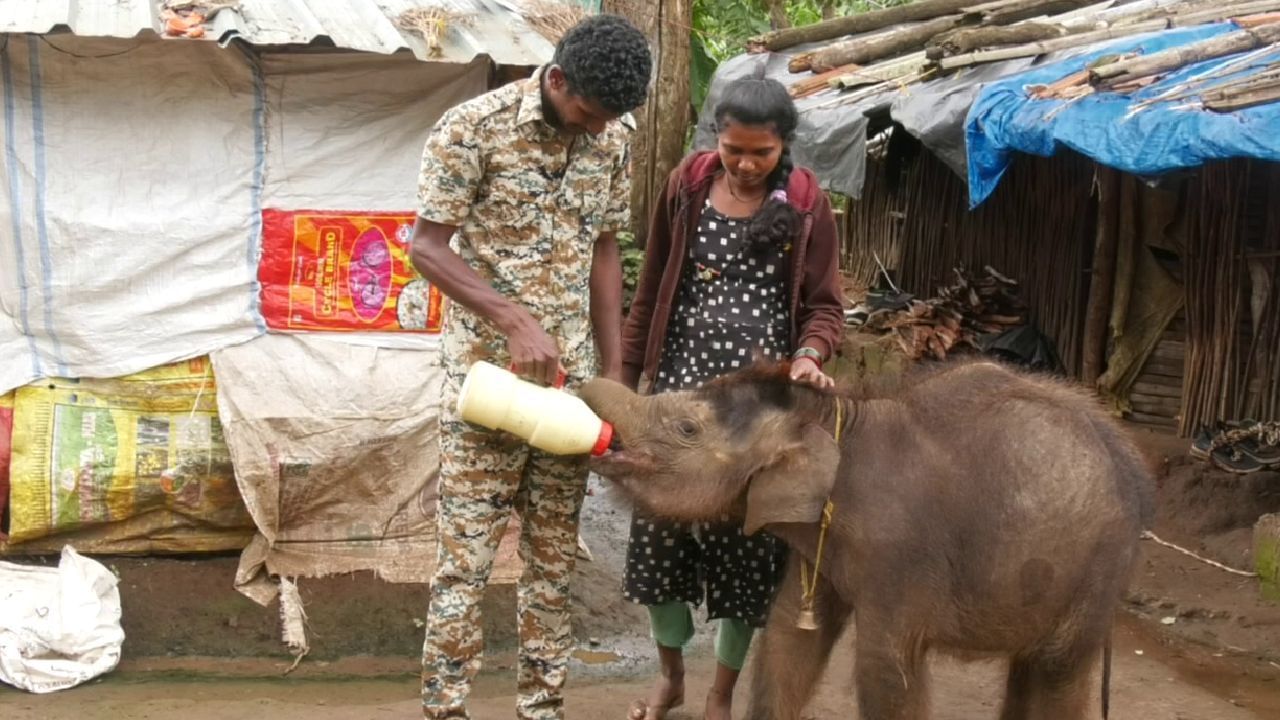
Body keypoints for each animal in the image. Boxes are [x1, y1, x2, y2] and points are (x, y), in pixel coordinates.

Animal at [586, 358, 1157, 717]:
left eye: (687, 428)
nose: (578, 386)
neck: (837, 415)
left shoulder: (900, 556)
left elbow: (885, 670)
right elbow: (790, 636)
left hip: (1096, 573)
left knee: (1057, 673)